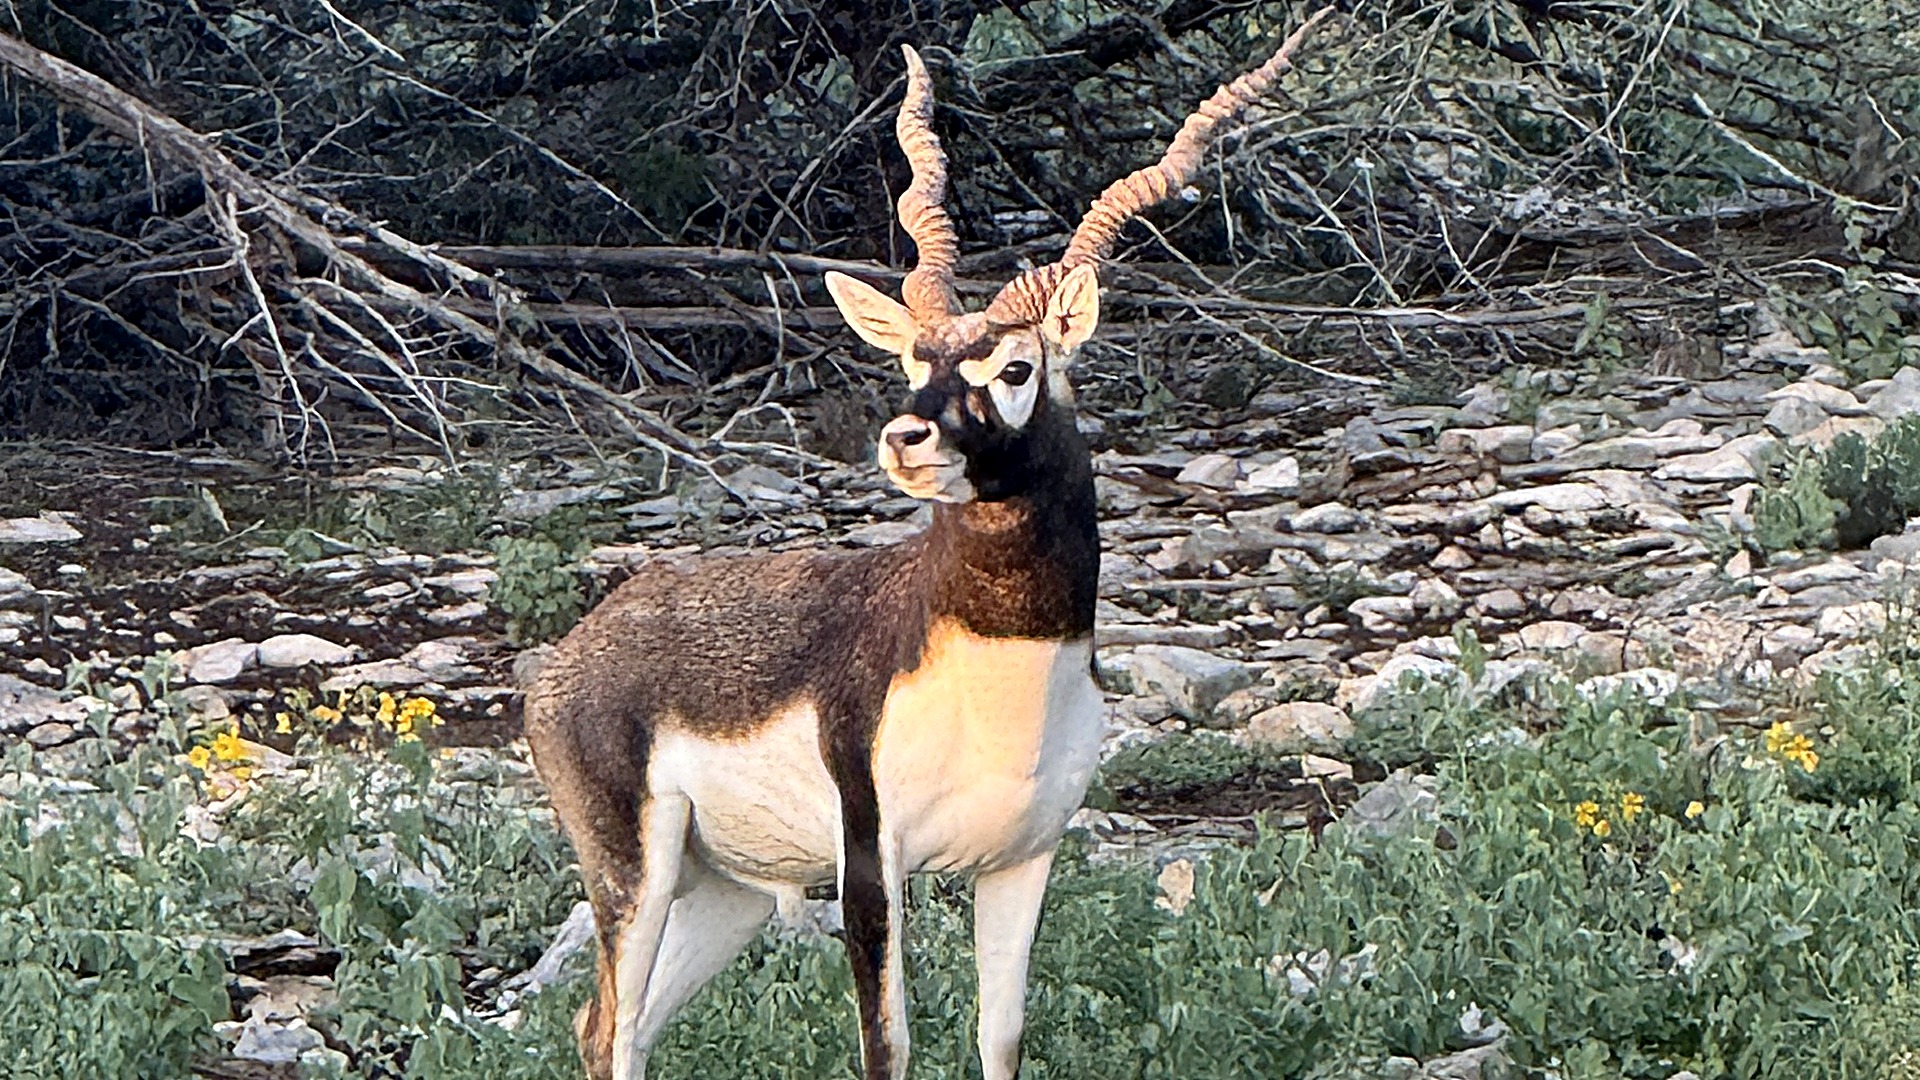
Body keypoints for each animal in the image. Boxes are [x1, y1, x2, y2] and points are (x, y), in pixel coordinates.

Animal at [525, 13, 1328, 1079]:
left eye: (1017, 366)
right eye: (915, 356)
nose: (906, 439)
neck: (993, 665)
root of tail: (573, 655)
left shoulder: (1024, 860)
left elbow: (1001, 1034)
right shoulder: (872, 861)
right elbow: (888, 1044)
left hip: (729, 893)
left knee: (615, 1028)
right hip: (636, 873)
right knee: (611, 1030)